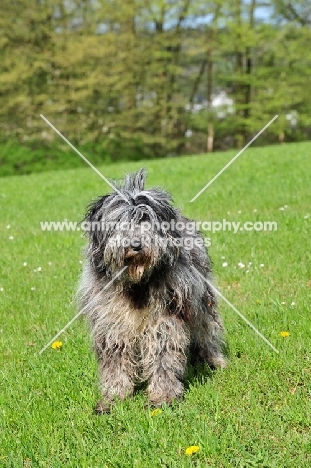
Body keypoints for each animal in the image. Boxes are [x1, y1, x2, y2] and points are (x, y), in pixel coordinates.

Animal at [77, 169, 225, 414]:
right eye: (120, 221)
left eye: (146, 220)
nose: (136, 245)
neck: (138, 284)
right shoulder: (112, 325)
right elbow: (115, 363)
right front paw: (113, 397)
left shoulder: (165, 322)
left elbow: (163, 359)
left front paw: (163, 397)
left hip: (203, 304)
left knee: (207, 331)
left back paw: (215, 360)